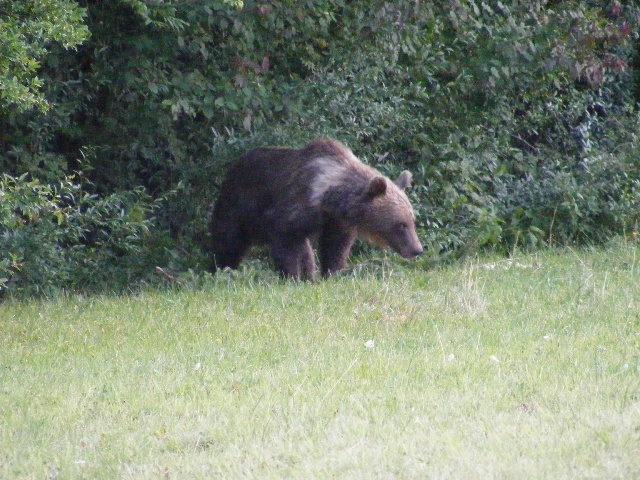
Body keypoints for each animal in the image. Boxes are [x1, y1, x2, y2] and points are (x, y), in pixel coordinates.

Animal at [208, 137, 422, 280]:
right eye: (401, 224)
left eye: (412, 222)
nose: (417, 249)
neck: (329, 199)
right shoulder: (291, 209)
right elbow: (286, 241)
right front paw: (292, 276)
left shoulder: (336, 222)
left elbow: (334, 247)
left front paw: (330, 273)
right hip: (236, 205)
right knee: (228, 240)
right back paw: (221, 269)